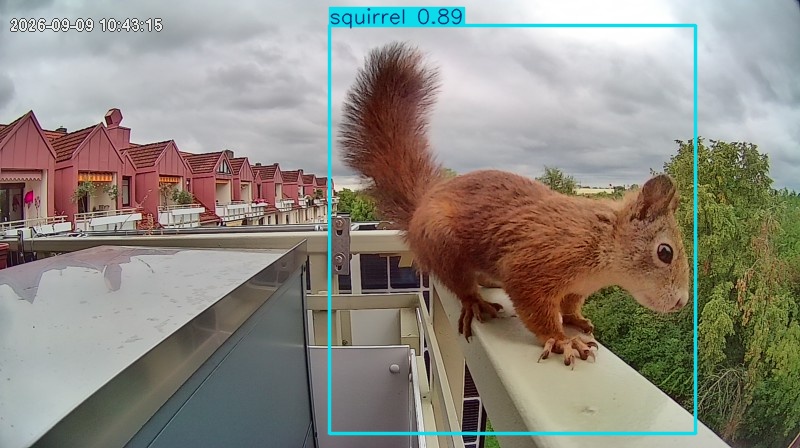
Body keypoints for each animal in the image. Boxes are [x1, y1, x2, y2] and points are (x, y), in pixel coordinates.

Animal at [338, 42, 691, 368]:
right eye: (665, 252)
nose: (681, 303)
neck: (602, 243)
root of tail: (423, 203)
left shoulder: (576, 287)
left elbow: (569, 304)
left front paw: (576, 320)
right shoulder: (536, 263)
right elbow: (535, 308)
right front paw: (562, 340)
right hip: (442, 243)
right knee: (459, 282)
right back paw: (475, 301)